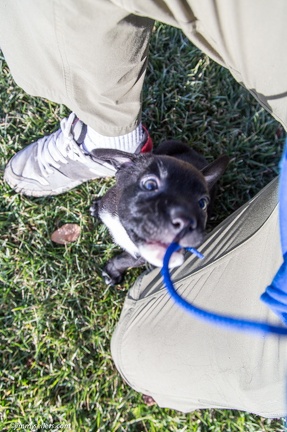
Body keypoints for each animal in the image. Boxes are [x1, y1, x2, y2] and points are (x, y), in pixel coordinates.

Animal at [90, 140, 230, 286]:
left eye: (202, 204)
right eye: (150, 185)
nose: (185, 220)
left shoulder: (143, 256)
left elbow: (125, 260)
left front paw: (112, 272)